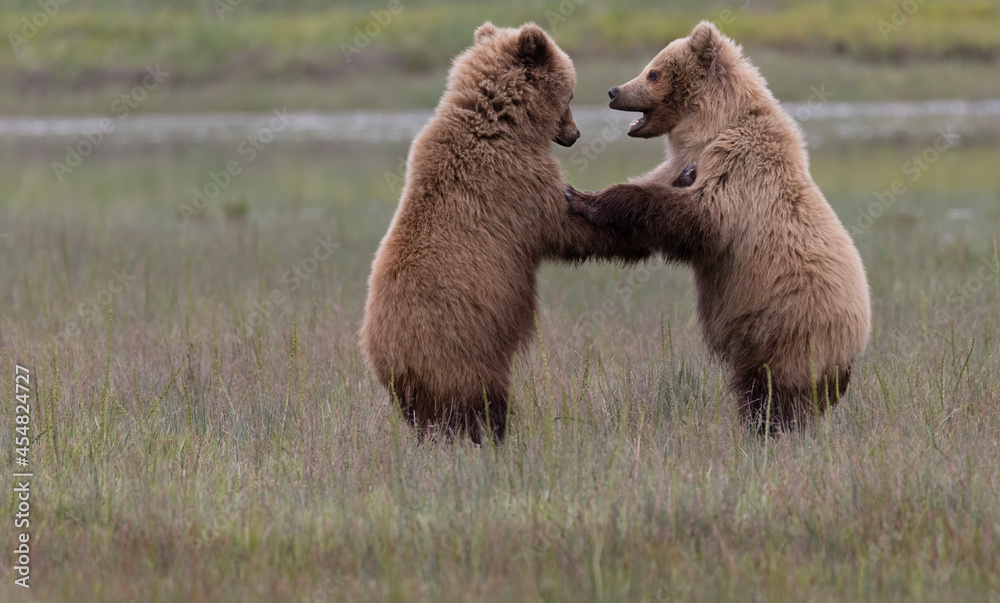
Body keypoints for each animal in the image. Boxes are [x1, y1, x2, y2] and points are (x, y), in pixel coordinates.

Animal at [360, 22, 650, 443]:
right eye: (570, 94)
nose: (576, 133)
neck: (506, 124)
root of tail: (387, 360)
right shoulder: (516, 183)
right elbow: (564, 228)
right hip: (462, 351)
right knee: (482, 402)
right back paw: (497, 437)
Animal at [565, 21, 871, 434]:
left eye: (652, 72)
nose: (614, 91)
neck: (711, 129)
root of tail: (855, 343)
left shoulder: (738, 168)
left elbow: (700, 218)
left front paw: (592, 200)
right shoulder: (681, 164)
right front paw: (580, 197)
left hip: (786, 326)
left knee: (770, 389)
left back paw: (764, 429)